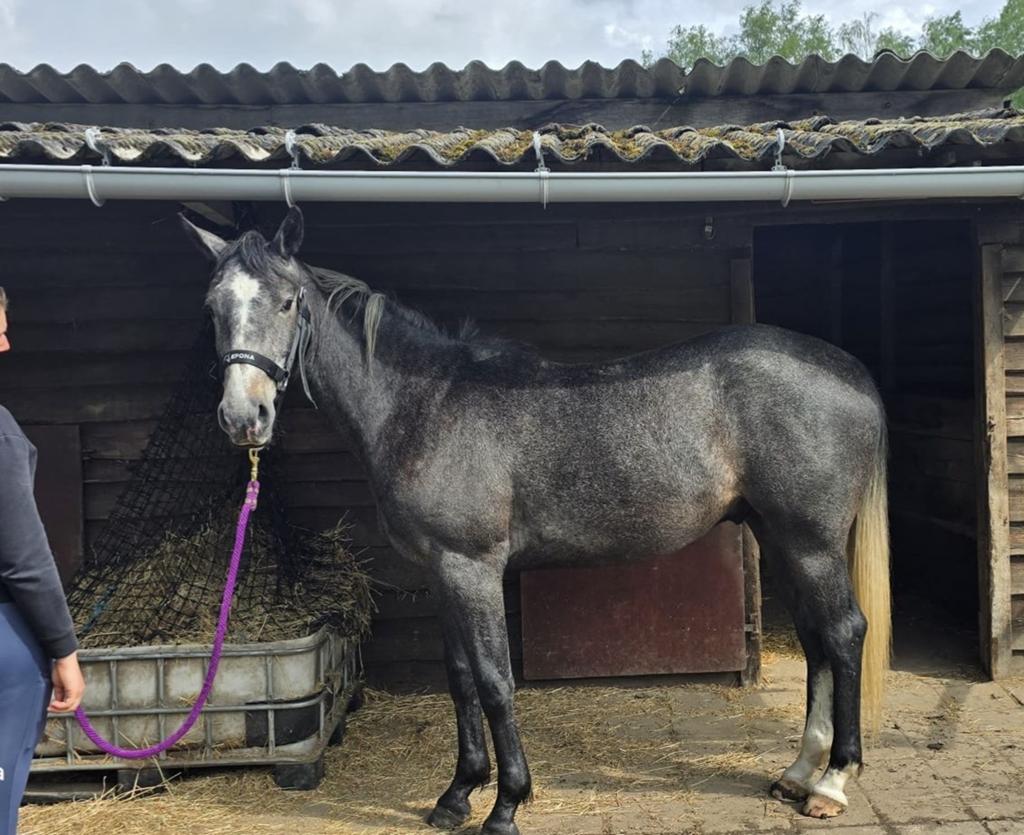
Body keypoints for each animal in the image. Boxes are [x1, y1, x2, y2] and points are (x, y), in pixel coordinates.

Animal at [181, 207, 890, 835]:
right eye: (212, 308)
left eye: (287, 302)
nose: (245, 418)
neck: (423, 404)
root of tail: (850, 371)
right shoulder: (442, 572)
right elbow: (460, 679)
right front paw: (456, 795)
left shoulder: (473, 567)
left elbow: (496, 682)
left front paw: (505, 806)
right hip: (780, 536)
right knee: (816, 639)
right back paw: (798, 773)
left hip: (811, 541)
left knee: (844, 632)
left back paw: (832, 782)